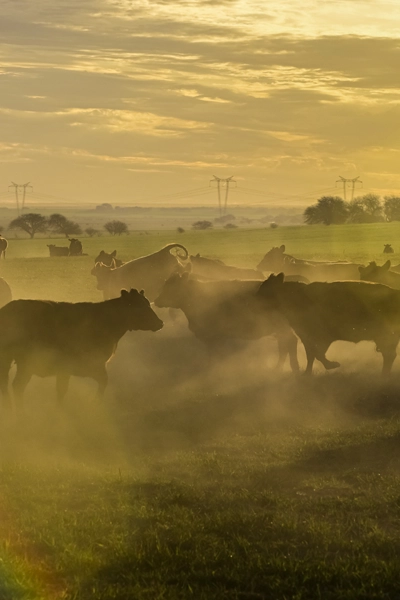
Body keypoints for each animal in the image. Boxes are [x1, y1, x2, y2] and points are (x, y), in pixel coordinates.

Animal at [0, 290, 164, 410]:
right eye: (139, 306)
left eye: (147, 303)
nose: (160, 323)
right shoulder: (85, 365)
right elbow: (99, 382)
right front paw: (93, 404)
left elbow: (63, 390)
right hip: (23, 363)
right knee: (16, 386)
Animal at [155, 274, 298, 372]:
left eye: (172, 287)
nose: (157, 300)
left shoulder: (214, 335)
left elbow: (214, 354)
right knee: (285, 344)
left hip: (281, 326)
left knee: (289, 342)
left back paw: (287, 367)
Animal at [256, 274, 400, 376]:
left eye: (265, 290)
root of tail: (395, 292)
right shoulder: (307, 337)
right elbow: (312, 355)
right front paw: (307, 373)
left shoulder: (318, 337)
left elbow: (317, 354)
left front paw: (333, 365)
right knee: (389, 355)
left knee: (389, 355)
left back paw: (384, 376)